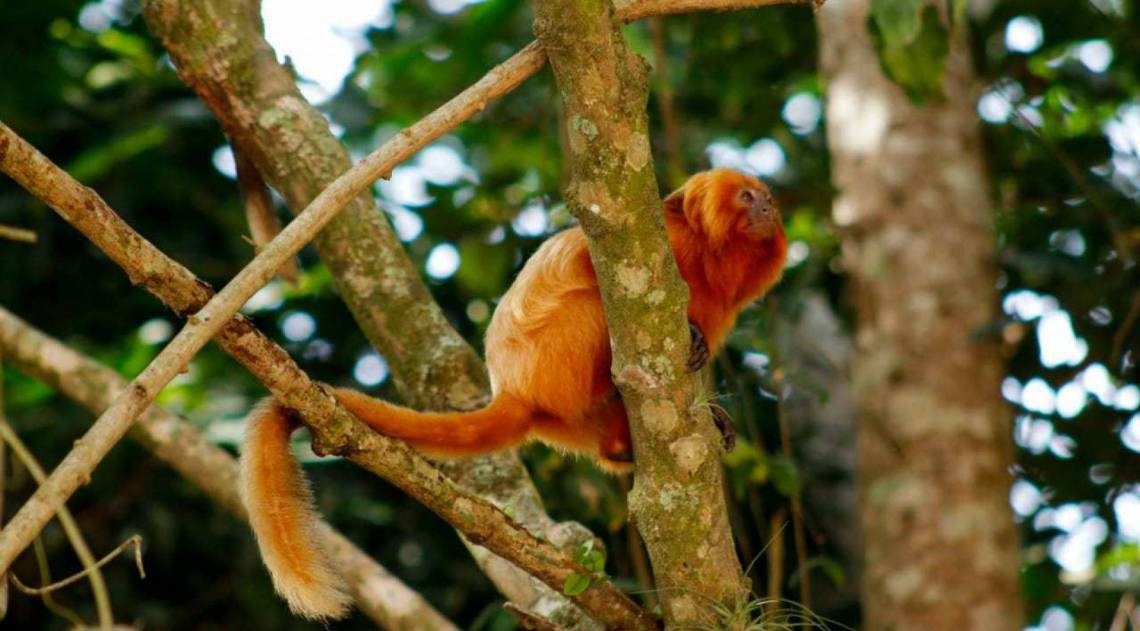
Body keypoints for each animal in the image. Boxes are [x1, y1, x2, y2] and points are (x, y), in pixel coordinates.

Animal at [238, 168, 788, 620]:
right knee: (593, 303)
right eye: (747, 196)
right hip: (555, 359)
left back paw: (625, 443)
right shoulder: (663, 242)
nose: (766, 208)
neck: (708, 260)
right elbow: (590, 262)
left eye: (767, 200)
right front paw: (688, 336)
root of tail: (515, 391)